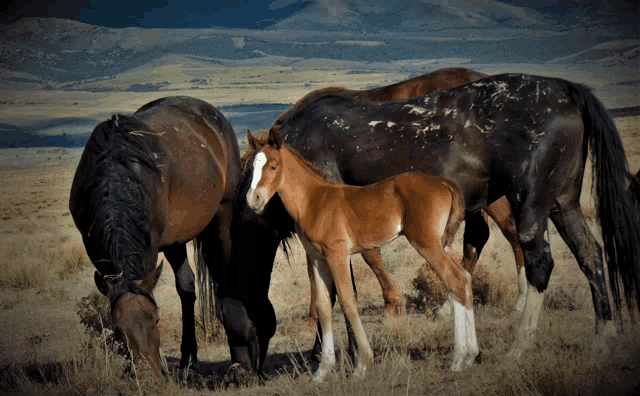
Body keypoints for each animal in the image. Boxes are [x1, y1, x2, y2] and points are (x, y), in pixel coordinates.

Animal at [248, 127, 478, 380]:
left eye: (273, 166)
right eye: (251, 167)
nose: (253, 199)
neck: (314, 202)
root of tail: (444, 182)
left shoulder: (337, 255)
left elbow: (348, 302)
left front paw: (362, 364)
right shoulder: (317, 259)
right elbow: (323, 307)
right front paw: (322, 371)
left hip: (427, 243)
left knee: (455, 280)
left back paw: (459, 358)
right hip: (433, 244)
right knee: (464, 278)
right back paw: (470, 355)